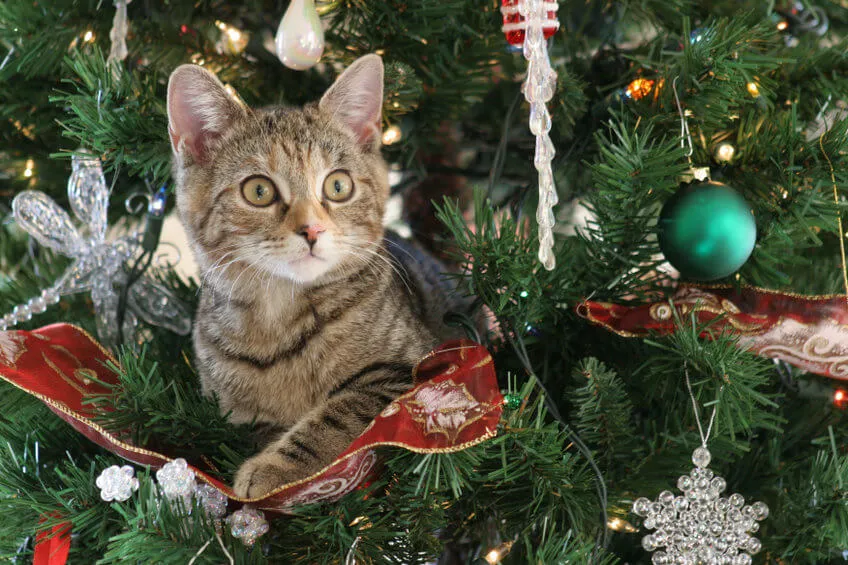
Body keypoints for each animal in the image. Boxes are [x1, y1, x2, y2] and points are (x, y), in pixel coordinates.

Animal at [165, 55, 470, 496]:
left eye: (338, 185)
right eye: (258, 191)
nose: (312, 229)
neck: (279, 317)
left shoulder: (413, 368)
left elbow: (339, 413)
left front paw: (275, 467)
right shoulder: (228, 412)